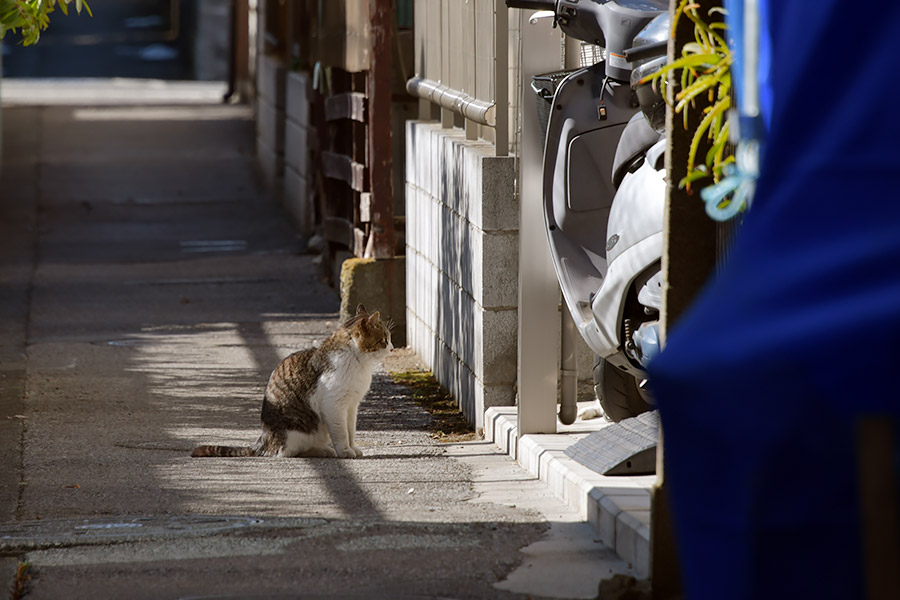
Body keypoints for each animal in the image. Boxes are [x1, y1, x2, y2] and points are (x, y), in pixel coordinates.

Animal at [192, 304, 392, 460]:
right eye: (384, 339)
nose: (392, 348)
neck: (358, 363)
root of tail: (264, 442)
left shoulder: (351, 406)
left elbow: (350, 430)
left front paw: (353, 448)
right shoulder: (335, 406)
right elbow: (341, 432)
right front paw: (345, 451)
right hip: (296, 432)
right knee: (289, 452)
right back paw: (322, 451)